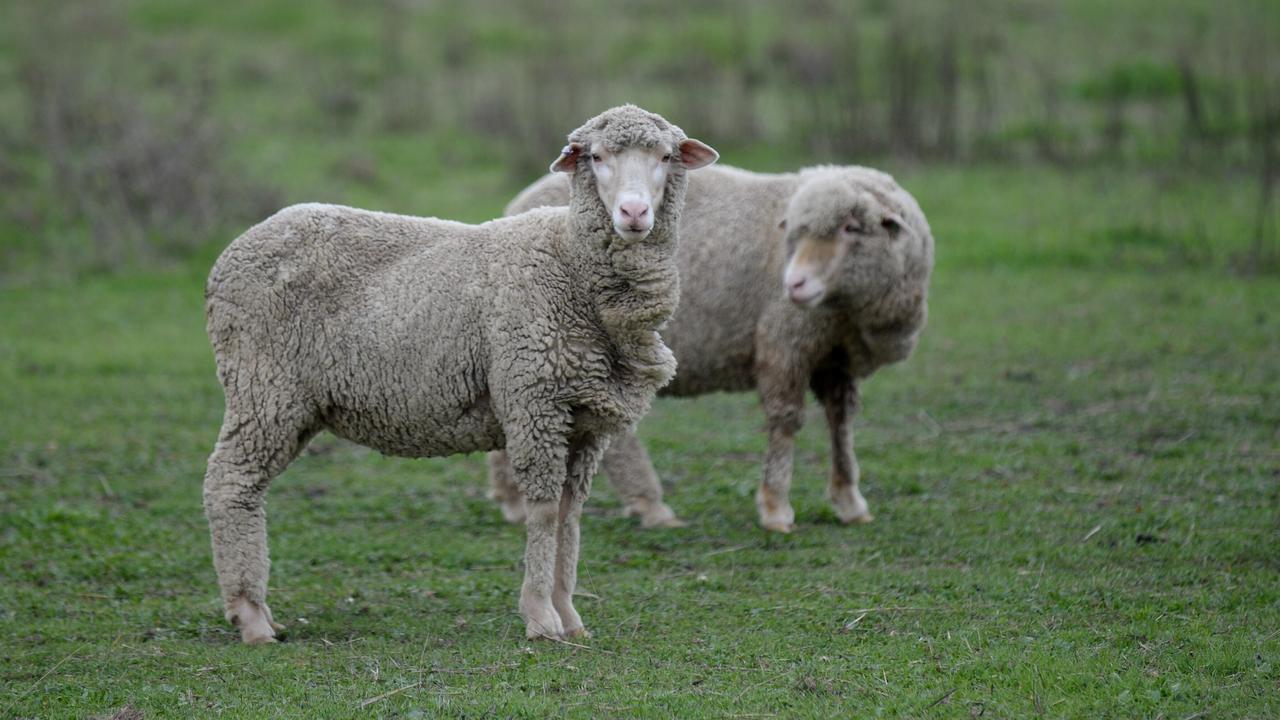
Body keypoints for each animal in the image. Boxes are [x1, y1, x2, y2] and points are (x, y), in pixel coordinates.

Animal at [201, 104, 718, 644]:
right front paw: (540, 616)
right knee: (230, 484)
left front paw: (569, 615)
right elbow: (542, 512)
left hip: (289, 402)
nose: (634, 214)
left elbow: (569, 517)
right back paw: (250, 616)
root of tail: (231, 254)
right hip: (263, 386)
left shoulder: (586, 423)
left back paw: (261, 612)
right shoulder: (534, 401)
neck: (571, 266)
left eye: (665, 156)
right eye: (596, 157)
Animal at [489, 164, 933, 532]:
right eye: (795, 234)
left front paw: (849, 501)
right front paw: (775, 508)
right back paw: (649, 504)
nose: (794, 284)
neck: (846, 311)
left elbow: (842, 422)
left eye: (852, 228)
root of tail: (511, 209)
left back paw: (514, 502)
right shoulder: (784, 340)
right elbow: (786, 421)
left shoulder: (834, 357)